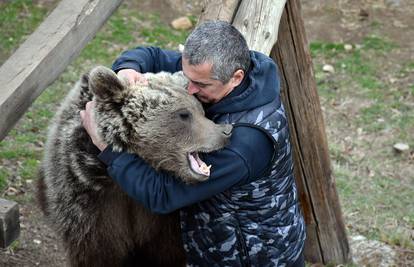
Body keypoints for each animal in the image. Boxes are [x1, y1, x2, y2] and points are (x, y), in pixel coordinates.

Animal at [37, 66, 233, 267]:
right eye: (184, 114)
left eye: (201, 109)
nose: (226, 131)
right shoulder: (89, 204)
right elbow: (98, 252)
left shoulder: (162, 223)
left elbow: (167, 252)